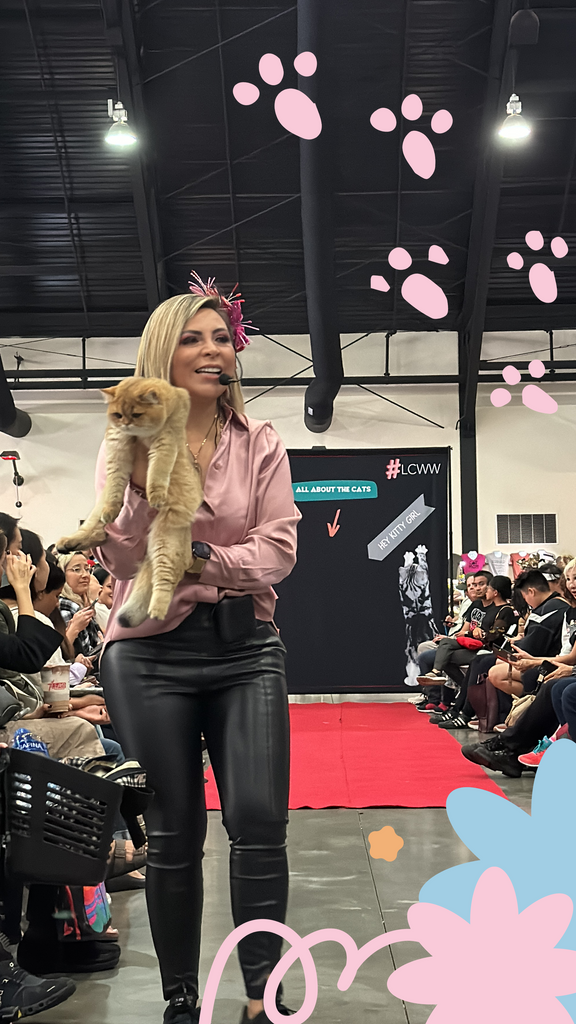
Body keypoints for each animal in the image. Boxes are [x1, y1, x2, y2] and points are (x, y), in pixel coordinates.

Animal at [58, 378, 201, 622]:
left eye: (136, 414)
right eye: (117, 415)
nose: (125, 424)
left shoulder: (167, 439)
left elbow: (158, 469)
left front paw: (156, 495)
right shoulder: (118, 445)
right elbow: (116, 483)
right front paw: (113, 508)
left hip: (166, 541)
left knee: (166, 579)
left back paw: (157, 610)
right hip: (98, 515)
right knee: (96, 531)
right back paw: (69, 542)